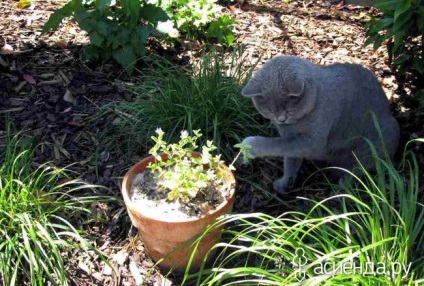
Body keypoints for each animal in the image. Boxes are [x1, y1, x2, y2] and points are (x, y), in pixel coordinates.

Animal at [240, 55, 400, 194]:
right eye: (270, 112)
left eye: (289, 110)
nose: (281, 119)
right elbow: (290, 159)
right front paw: (285, 182)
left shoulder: (312, 140)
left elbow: (279, 145)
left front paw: (250, 145)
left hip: (378, 139)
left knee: (362, 167)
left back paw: (345, 183)